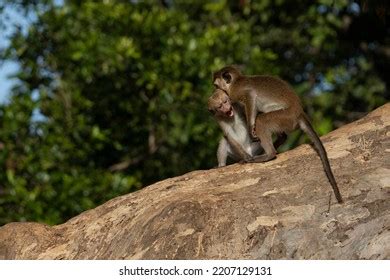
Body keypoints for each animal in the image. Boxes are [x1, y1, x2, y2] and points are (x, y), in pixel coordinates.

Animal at [212, 65, 342, 203]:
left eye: (216, 85)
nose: (215, 90)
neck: (236, 81)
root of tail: (299, 112)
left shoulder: (236, 92)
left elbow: (251, 95)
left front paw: (250, 127)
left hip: (286, 117)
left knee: (262, 120)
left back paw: (270, 154)